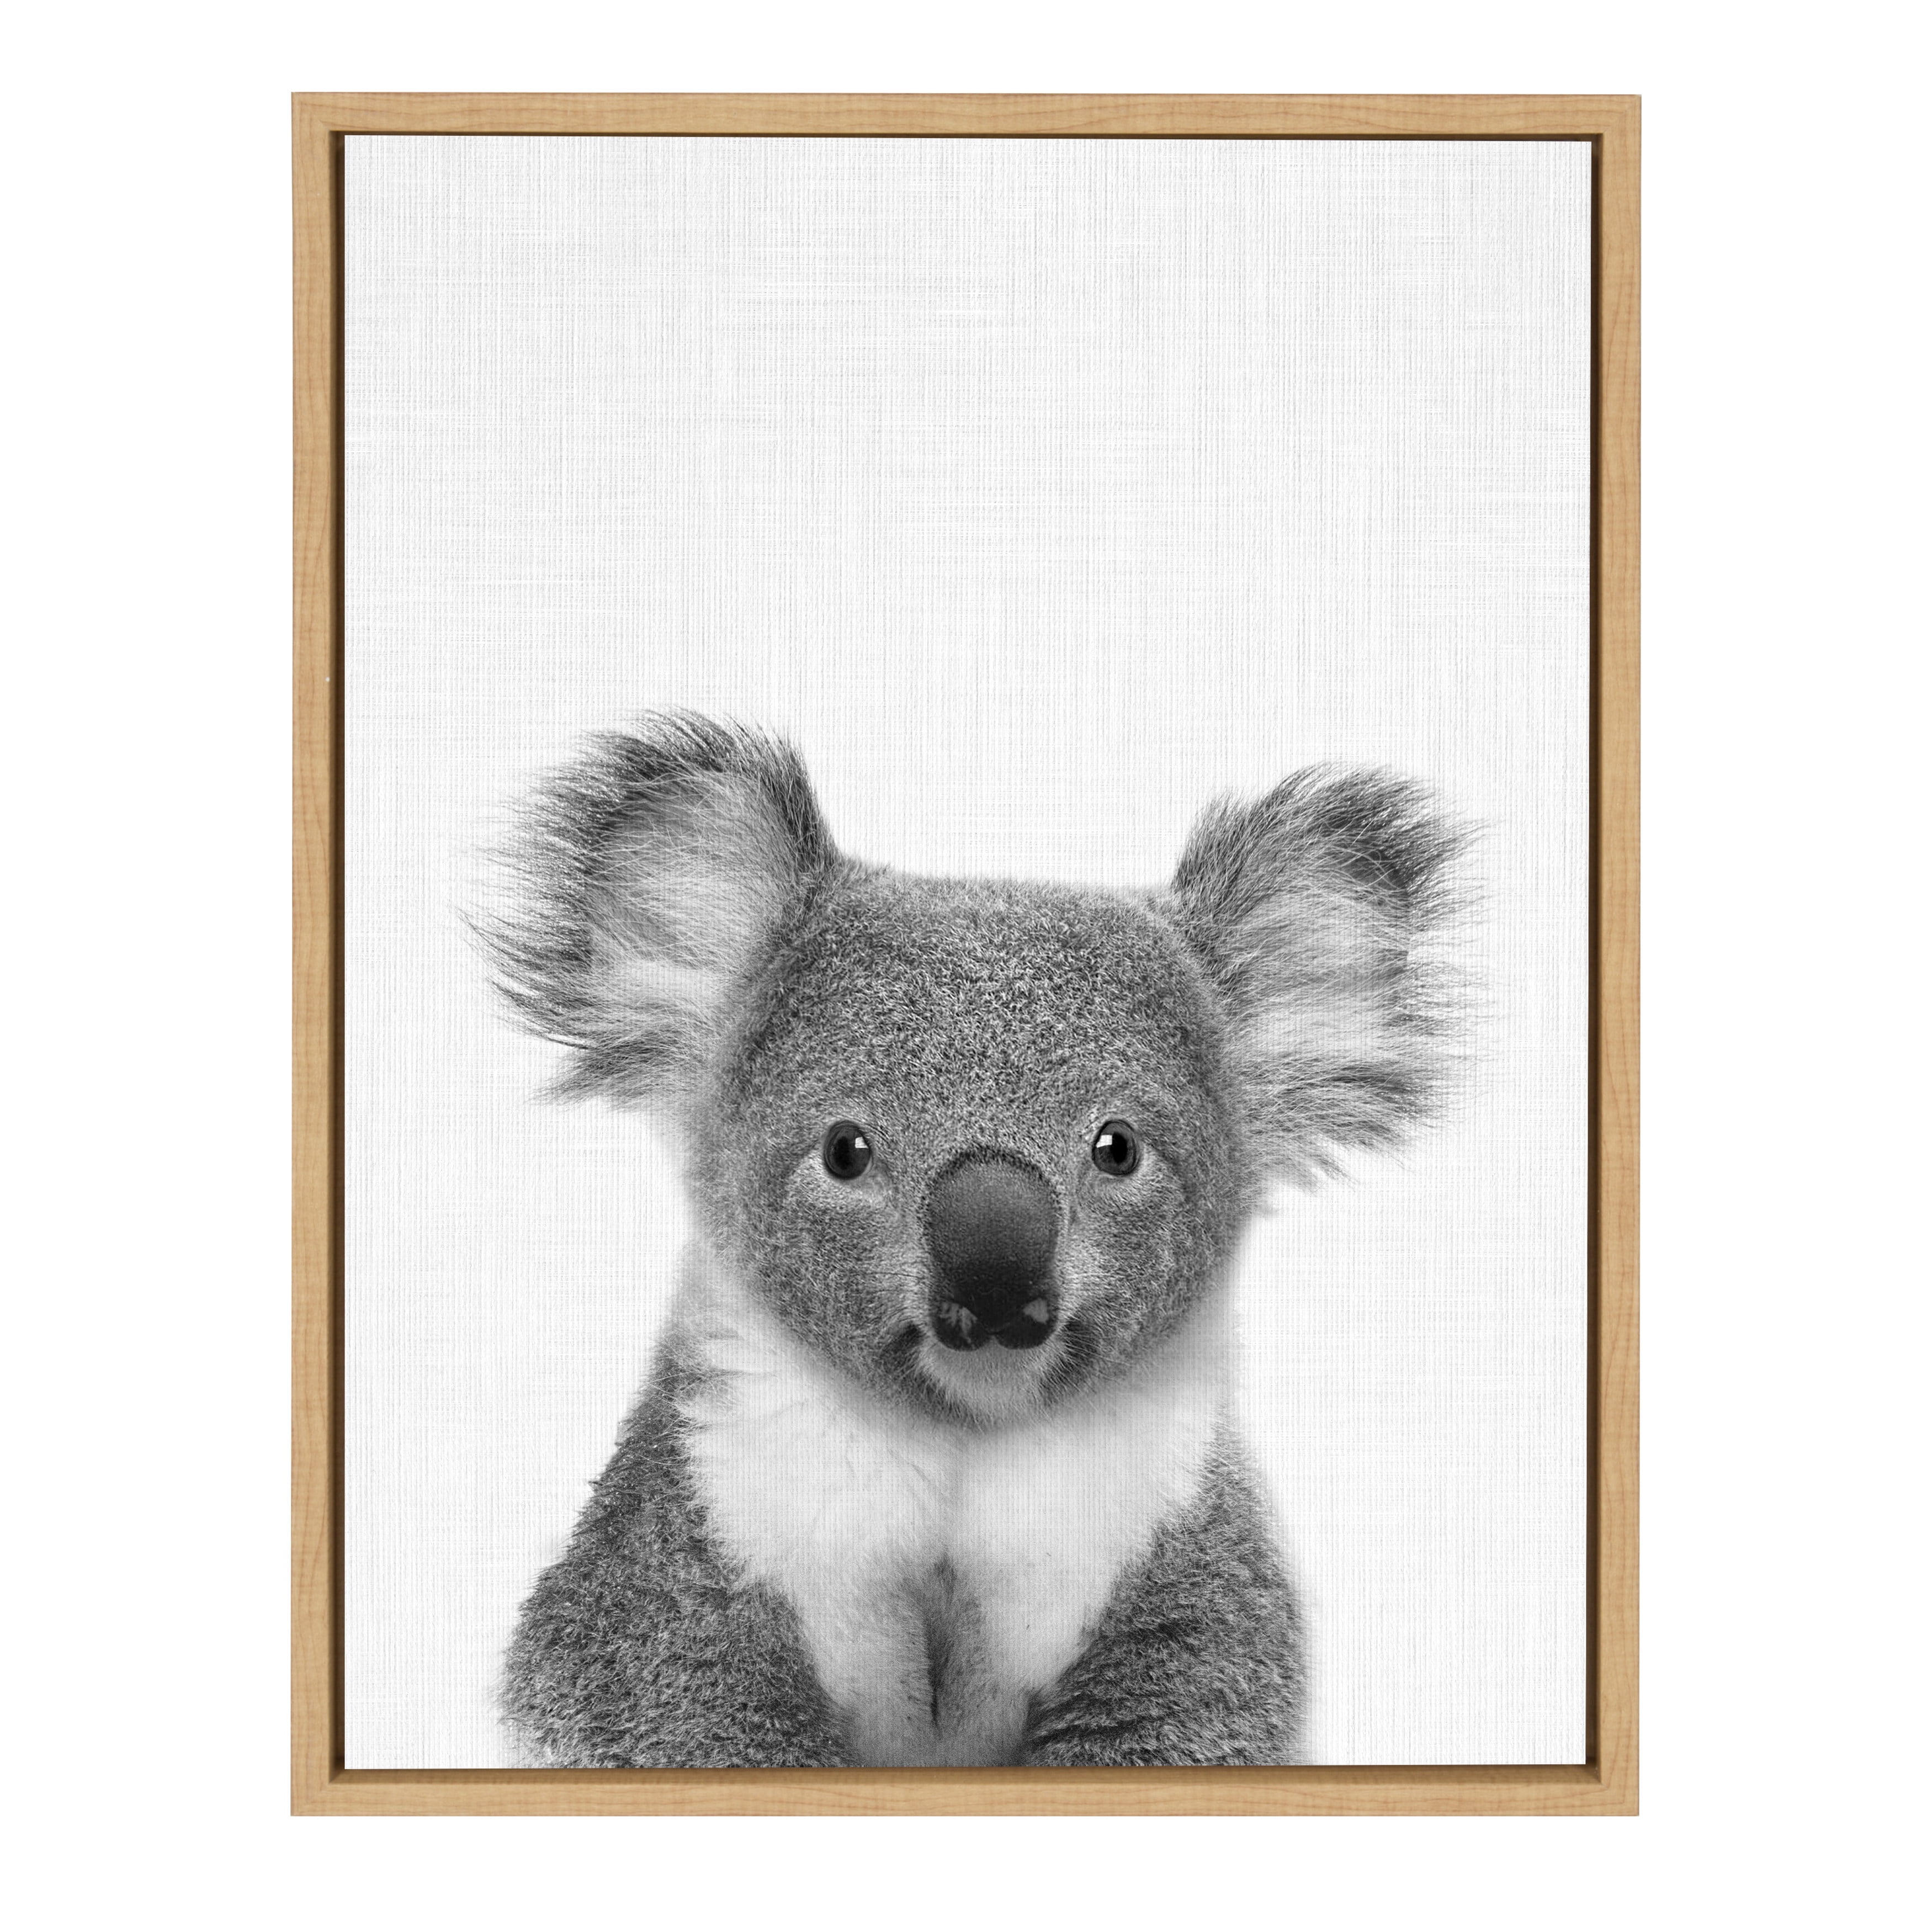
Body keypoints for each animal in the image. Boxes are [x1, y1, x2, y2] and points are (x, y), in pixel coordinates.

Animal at [478, 711, 1463, 1768]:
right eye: (846, 1151)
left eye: (1118, 1149)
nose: (994, 1288)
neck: (966, 1437)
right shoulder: (693, 1543)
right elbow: (677, 1697)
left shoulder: (1170, 1560)